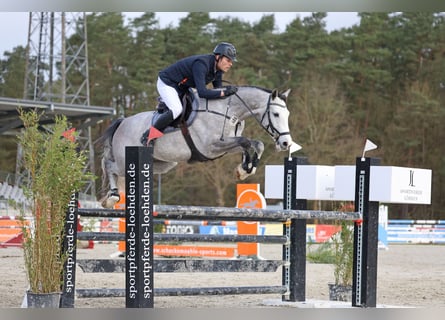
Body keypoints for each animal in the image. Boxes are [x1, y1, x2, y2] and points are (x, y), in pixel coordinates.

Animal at [99, 86, 294, 209]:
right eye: (276, 114)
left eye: (287, 114)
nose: (286, 143)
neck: (228, 111)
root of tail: (123, 121)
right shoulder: (211, 147)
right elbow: (245, 142)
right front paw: (245, 167)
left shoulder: (225, 145)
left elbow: (255, 144)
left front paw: (244, 170)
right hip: (124, 161)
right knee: (108, 165)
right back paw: (112, 197)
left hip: (162, 164)